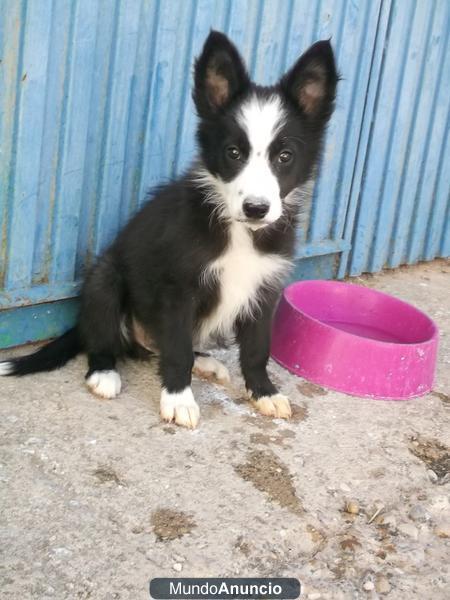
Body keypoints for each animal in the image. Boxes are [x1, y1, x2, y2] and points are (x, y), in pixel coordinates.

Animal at [0, 31, 338, 426]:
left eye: (285, 156)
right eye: (233, 152)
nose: (256, 208)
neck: (238, 231)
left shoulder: (264, 288)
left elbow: (256, 349)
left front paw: (264, 392)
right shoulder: (179, 289)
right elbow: (178, 351)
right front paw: (178, 398)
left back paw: (207, 363)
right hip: (105, 278)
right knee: (106, 340)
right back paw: (104, 373)